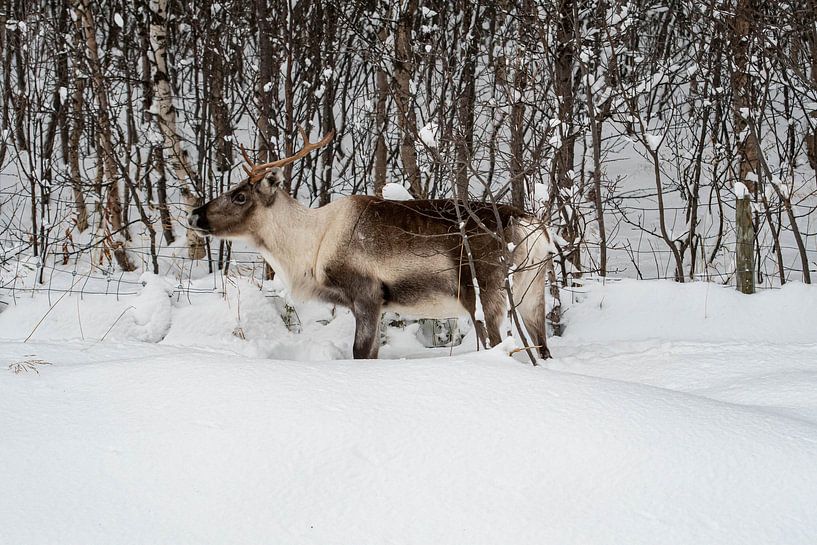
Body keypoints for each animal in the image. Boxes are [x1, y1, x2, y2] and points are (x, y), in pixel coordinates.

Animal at [188, 127, 554, 360]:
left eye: (240, 196)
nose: (194, 215)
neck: (311, 244)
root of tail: (532, 224)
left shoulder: (366, 295)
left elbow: (361, 353)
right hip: (533, 292)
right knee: (542, 346)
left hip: (484, 294)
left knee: (497, 342)